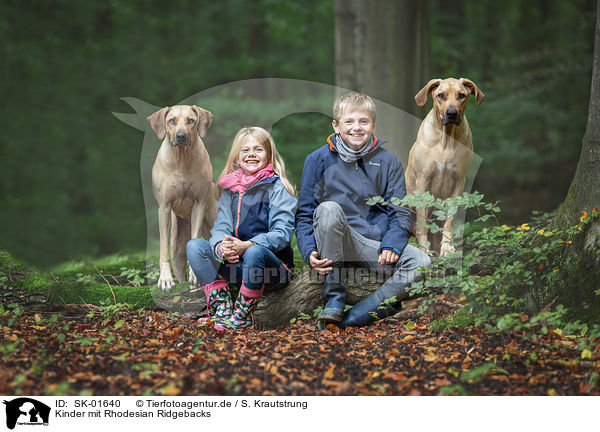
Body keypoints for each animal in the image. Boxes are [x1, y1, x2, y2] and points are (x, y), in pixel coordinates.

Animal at [148, 104, 218, 290]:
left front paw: (195, 274)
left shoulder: (199, 204)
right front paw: (165, 279)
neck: (181, 160)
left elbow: (195, 238)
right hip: (177, 242)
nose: (181, 136)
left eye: (191, 121)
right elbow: (163, 248)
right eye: (171, 121)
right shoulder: (164, 207)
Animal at [406, 77, 486, 255]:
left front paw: (447, 246)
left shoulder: (459, 181)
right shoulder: (422, 179)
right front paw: (424, 248)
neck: (447, 138)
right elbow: (422, 220)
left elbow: (450, 218)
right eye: (441, 95)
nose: (452, 113)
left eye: (462, 95)